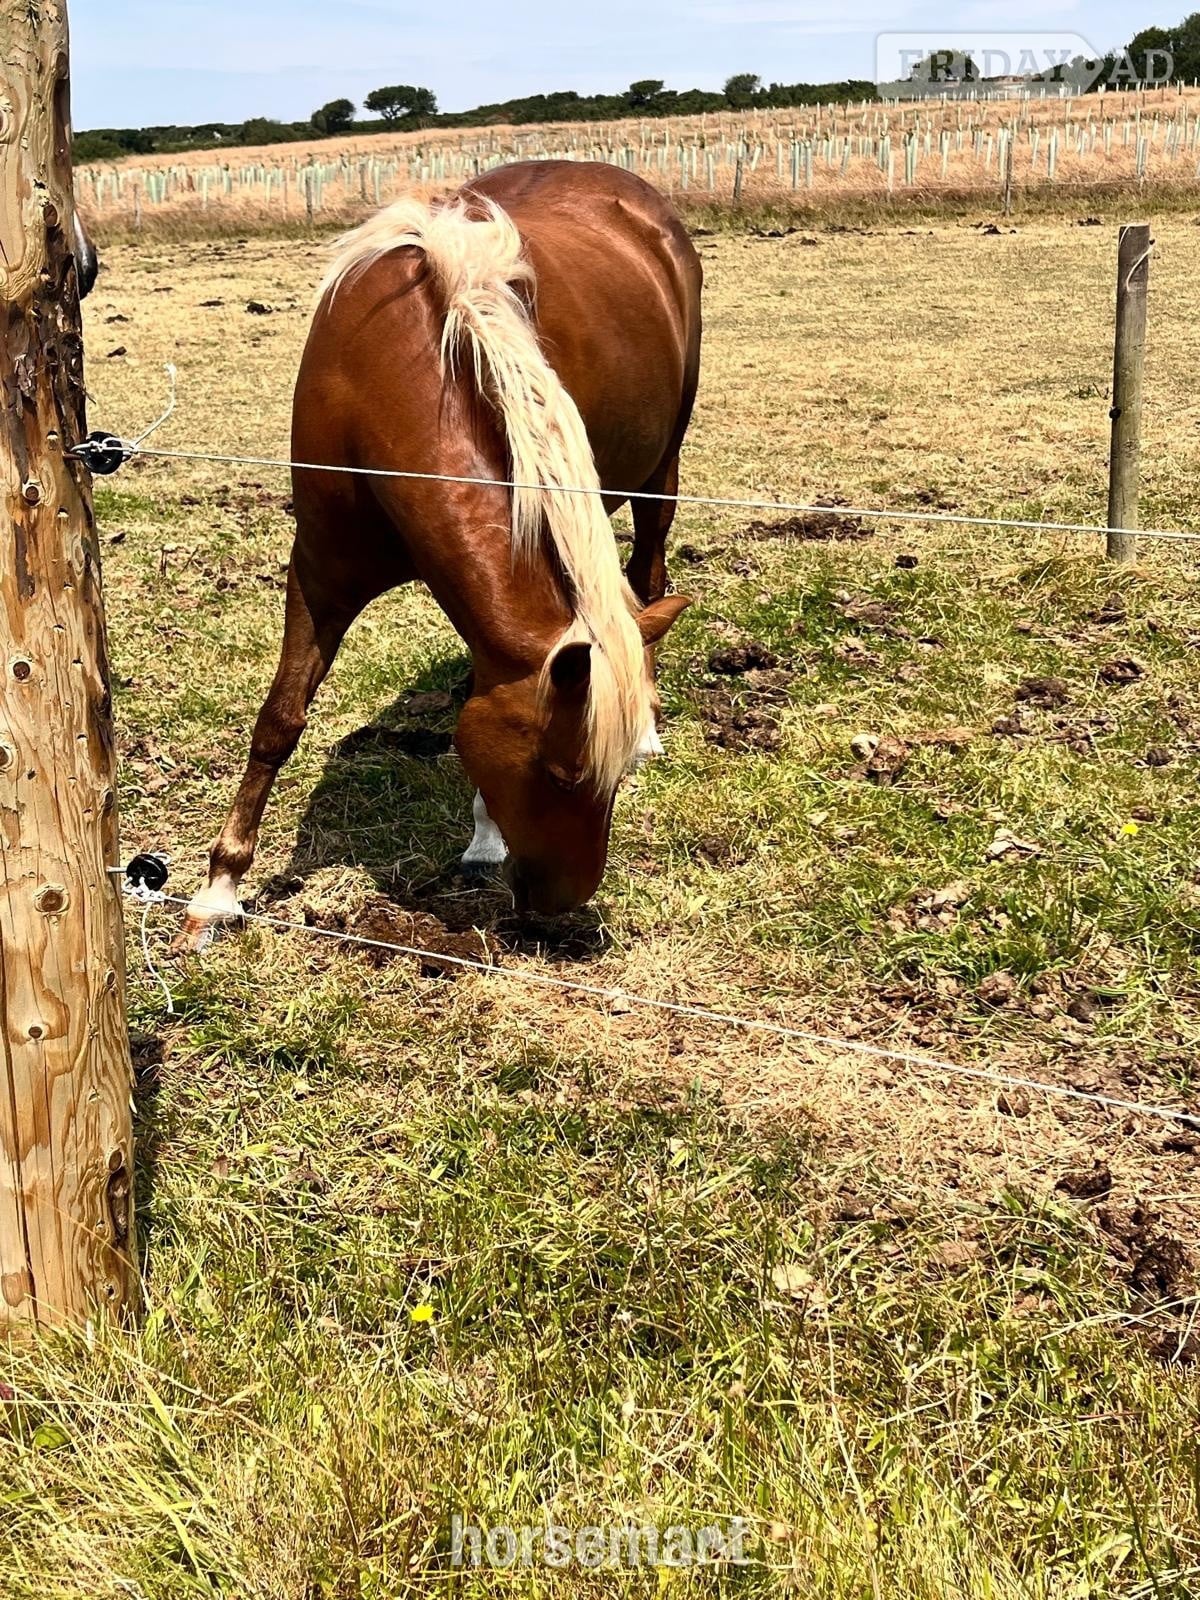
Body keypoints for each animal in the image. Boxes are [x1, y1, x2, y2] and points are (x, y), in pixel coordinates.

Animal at [175, 160, 702, 951]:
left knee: (648, 574)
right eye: (561, 774)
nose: (562, 909)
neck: (379, 378)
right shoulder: (320, 573)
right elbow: (280, 720)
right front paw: (217, 893)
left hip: (659, 472)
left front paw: (484, 833)